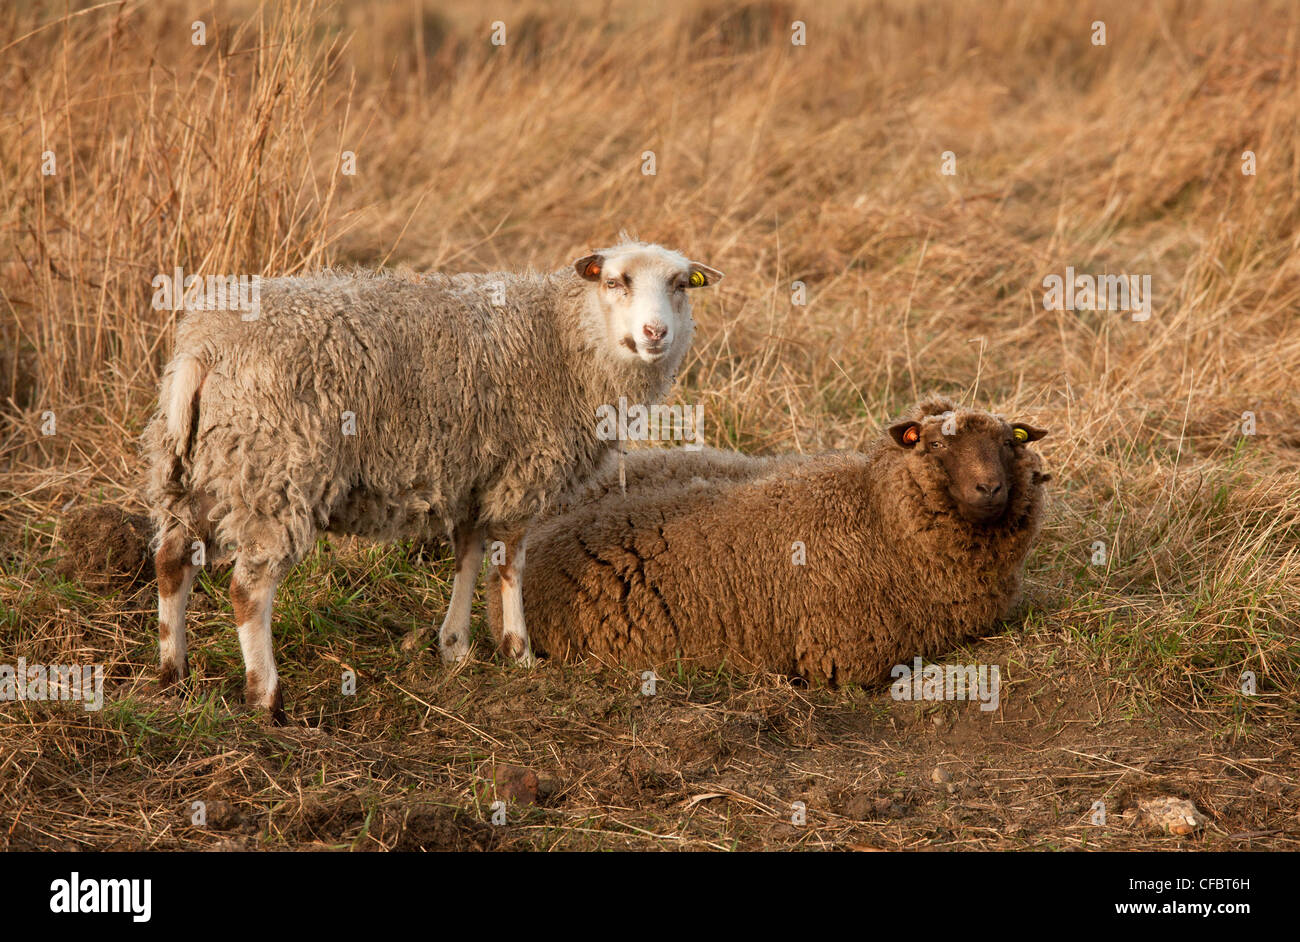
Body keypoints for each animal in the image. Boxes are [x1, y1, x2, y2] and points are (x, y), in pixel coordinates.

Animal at [149, 239, 733, 717]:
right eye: (615, 281)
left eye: (681, 285)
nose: (655, 333)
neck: (566, 339)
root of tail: (206, 346)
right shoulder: (522, 472)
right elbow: (510, 564)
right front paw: (519, 652)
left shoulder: (473, 476)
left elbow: (468, 558)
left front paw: (455, 646)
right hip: (278, 470)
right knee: (249, 590)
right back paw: (266, 698)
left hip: (199, 469)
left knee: (173, 562)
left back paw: (173, 675)